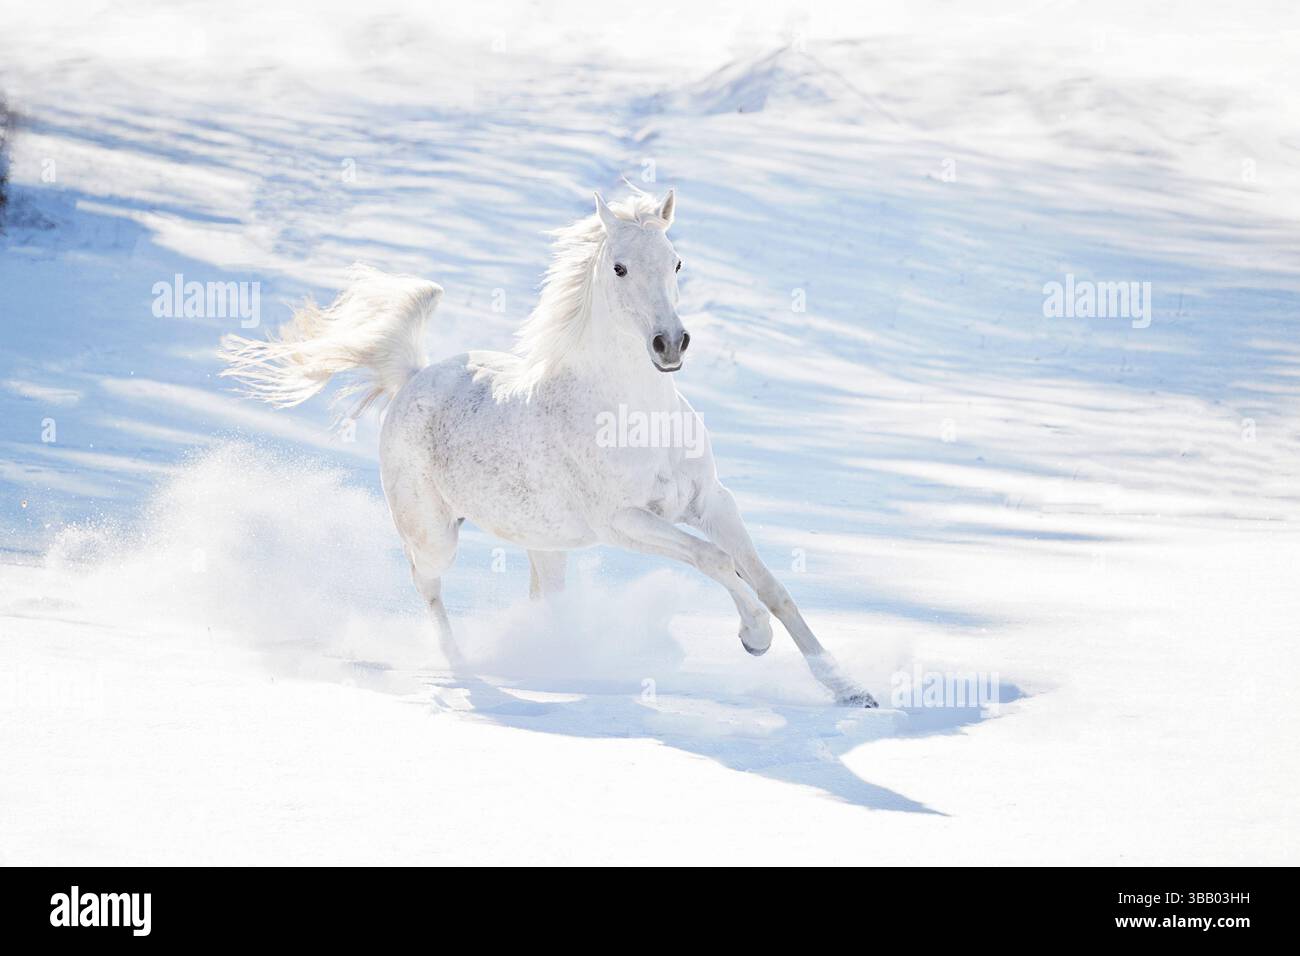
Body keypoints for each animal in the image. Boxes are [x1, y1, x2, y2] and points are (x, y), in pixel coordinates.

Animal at [219, 188, 876, 707]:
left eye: (677, 261)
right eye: (619, 267)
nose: (670, 343)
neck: (636, 416)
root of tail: (413, 377)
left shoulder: (712, 502)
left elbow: (772, 584)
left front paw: (849, 690)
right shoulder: (623, 522)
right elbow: (718, 563)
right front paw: (754, 639)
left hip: (546, 546)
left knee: (539, 602)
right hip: (435, 537)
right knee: (427, 589)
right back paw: (467, 672)